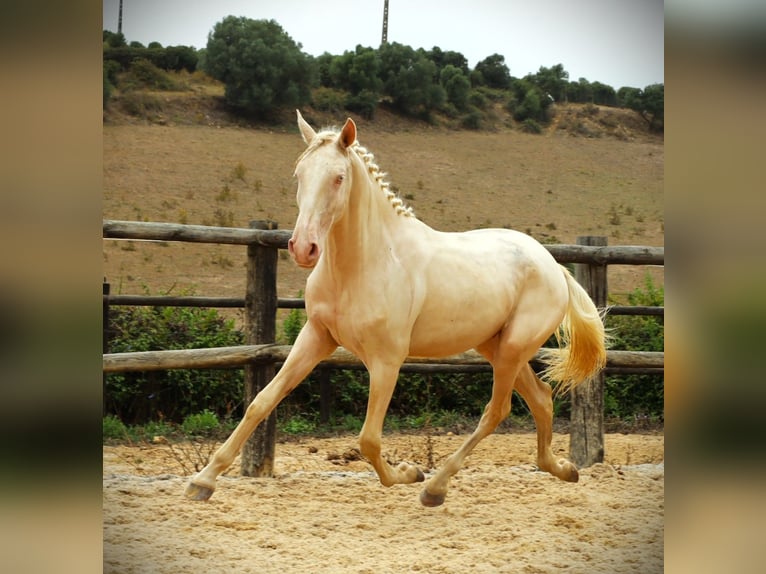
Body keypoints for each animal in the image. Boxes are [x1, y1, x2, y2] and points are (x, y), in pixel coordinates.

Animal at [186, 111, 608, 508]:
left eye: (339, 177)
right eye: (299, 174)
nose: (303, 248)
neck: (365, 262)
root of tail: (554, 266)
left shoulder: (386, 359)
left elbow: (369, 439)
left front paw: (408, 474)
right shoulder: (316, 337)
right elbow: (261, 402)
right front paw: (202, 482)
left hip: (512, 350)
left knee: (497, 410)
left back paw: (435, 488)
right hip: (497, 347)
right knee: (541, 397)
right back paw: (563, 469)